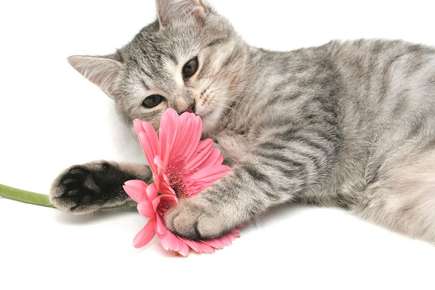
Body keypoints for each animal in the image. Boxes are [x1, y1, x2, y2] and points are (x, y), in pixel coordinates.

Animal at [49, 0, 435, 242]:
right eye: (152, 101)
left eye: (190, 66)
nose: (186, 106)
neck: (232, 119)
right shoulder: (211, 158)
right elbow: (157, 181)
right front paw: (91, 183)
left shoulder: (307, 131)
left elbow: (256, 172)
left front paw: (200, 209)